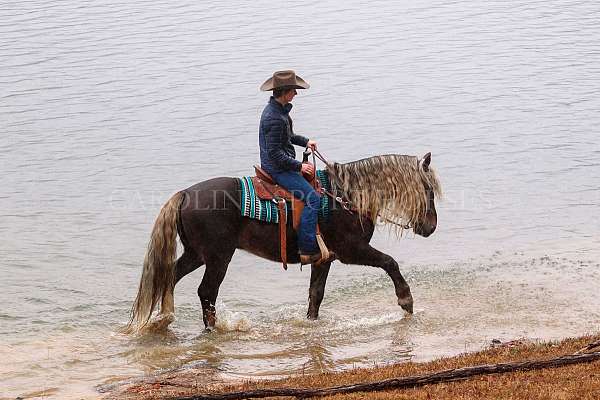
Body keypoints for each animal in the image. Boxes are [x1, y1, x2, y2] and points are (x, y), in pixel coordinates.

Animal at [124, 152, 440, 332]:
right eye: (428, 188)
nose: (431, 227)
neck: (345, 196)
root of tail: (186, 194)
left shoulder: (324, 258)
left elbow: (315, 295)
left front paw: (311, 324)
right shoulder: (352, 251)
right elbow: (390, 262)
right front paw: (406, 300)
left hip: (196, 254)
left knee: (169, 277)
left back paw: (165, 319)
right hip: (218, 257)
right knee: (207, 292)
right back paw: (210, 330)